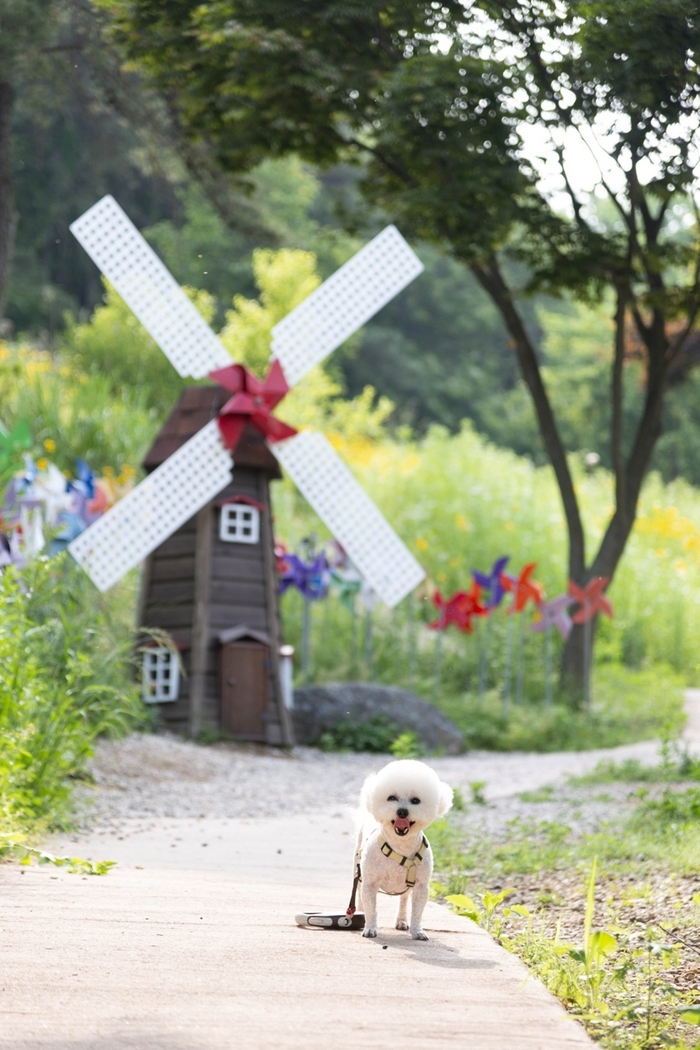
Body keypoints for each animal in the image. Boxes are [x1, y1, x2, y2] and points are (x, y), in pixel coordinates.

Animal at [352, 760, 451, 940]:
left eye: (415, 800)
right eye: (391, 798)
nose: (402, 811)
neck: (400, 846)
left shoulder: (421, 886)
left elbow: (417, 912)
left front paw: (417, 931)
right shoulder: (370, 883)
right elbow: (371, 908)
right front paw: (370, 928)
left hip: (407, 886)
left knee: (404, 900)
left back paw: (402, 921)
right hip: (359, 870)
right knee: (361, 897)